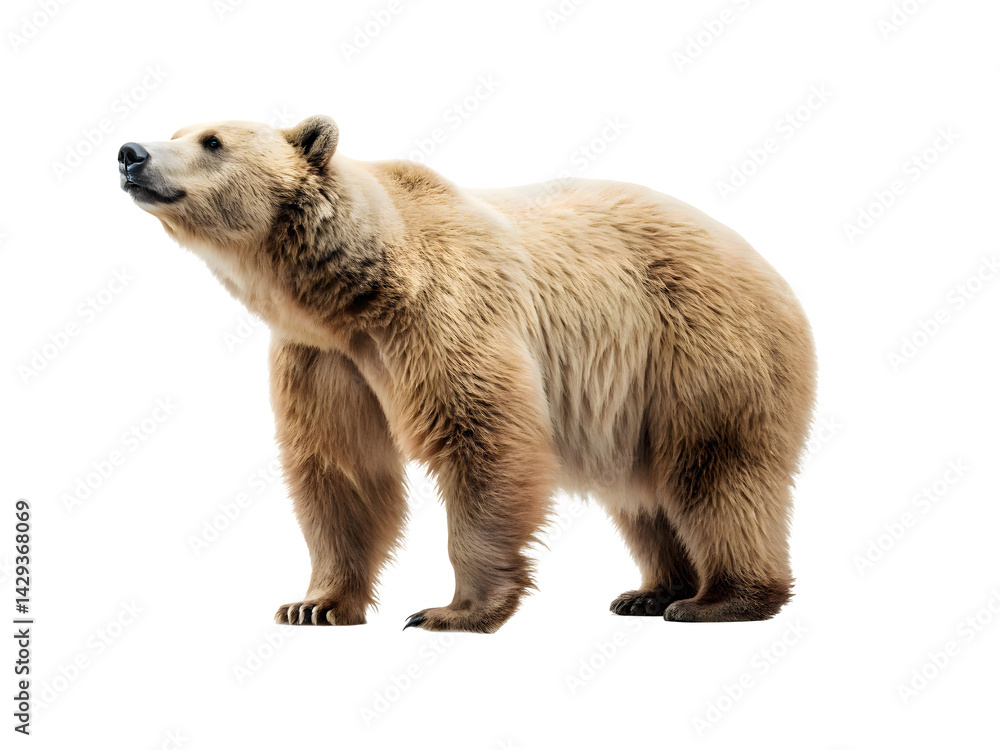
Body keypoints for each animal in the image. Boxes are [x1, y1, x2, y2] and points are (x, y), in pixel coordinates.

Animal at [118, 115, 816, 633]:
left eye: (212, 140)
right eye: (179, 128)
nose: (131, 153)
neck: (350, 294)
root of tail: (765, 261)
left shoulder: (441, 314)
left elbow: (483, 437)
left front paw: (451, 610)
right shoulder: (323, 358)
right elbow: (340, 465)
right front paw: (313, 603)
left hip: (698, 344)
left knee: (716, 467)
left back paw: (720, 599)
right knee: (642, 493)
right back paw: (650, 591)